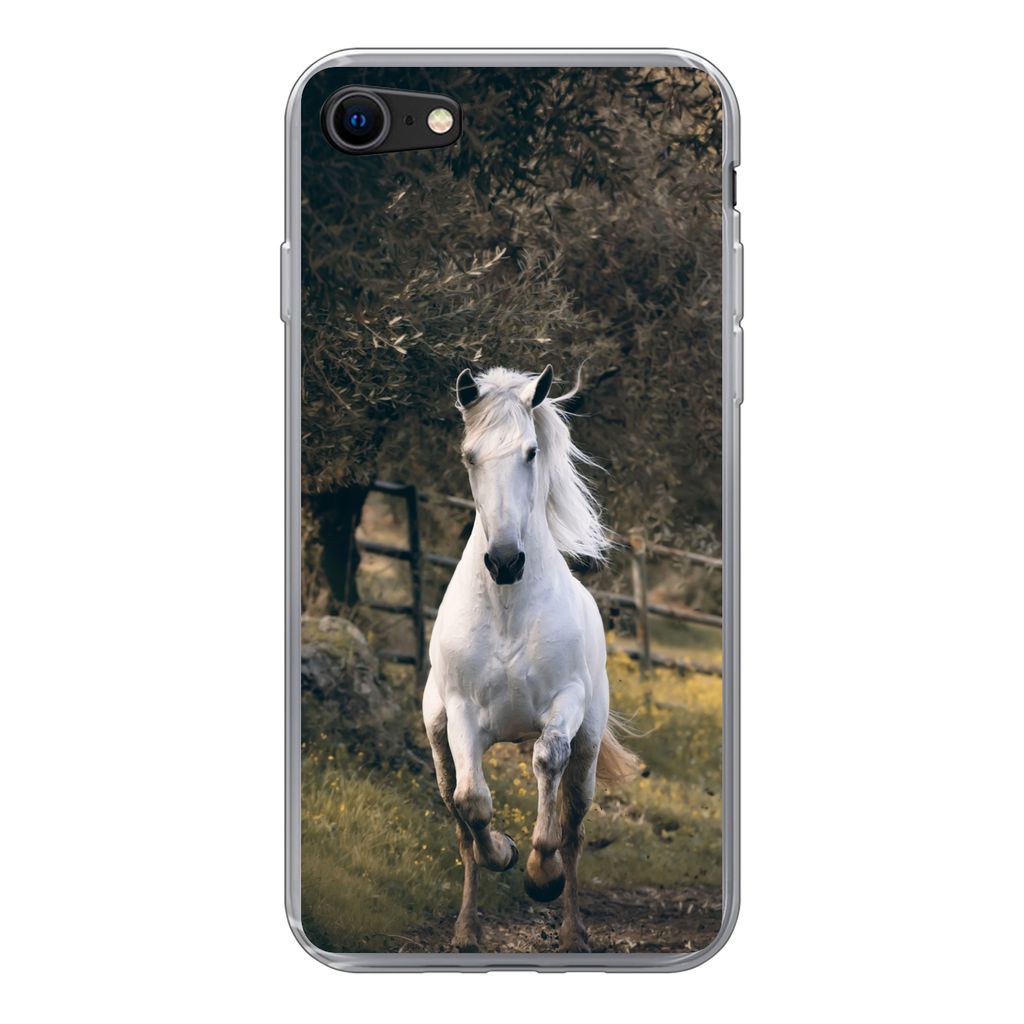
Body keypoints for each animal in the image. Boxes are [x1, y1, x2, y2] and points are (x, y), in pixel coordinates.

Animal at [422, 365, 641, 953]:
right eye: (469, 455)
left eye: (530, 451)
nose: (504, 561)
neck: (507, 611)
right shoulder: (462, 713)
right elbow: (473, 801)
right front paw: (506, 852)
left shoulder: (564, 705)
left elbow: (547, 764)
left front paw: (541, 875)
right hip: (439, 739)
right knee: (459, 820)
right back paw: (466, 931)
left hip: (587, 749)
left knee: (575, 824)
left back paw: (572, 930)